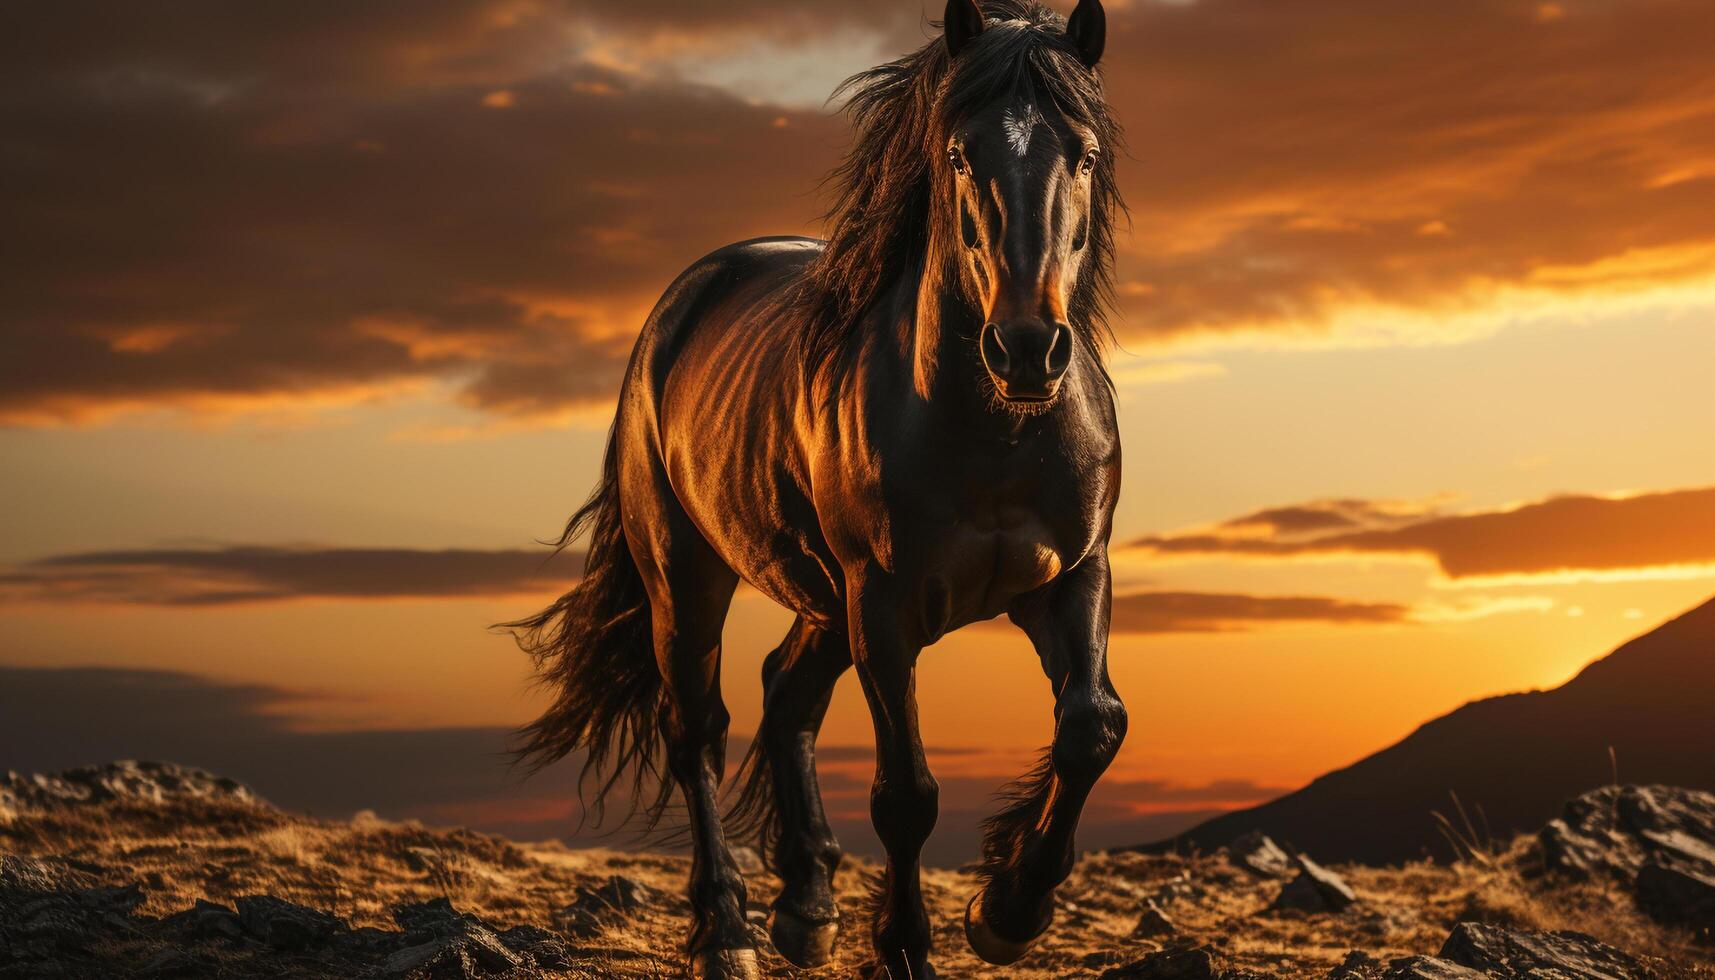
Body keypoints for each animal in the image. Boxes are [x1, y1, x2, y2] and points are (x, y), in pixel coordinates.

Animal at [504, 3, 1125, 974]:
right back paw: (725, 934)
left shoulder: (1072, 575)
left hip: (823, 599)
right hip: (689, 579)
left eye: (1085, 153)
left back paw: (804, 904)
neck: (994, 428)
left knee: (784, 689)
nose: (1027, 348)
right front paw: (906, 947)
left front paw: (1009, 910)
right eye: (959, 154)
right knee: (697, 731)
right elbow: (905, 794)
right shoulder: (883, 606)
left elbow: (1091, 728)